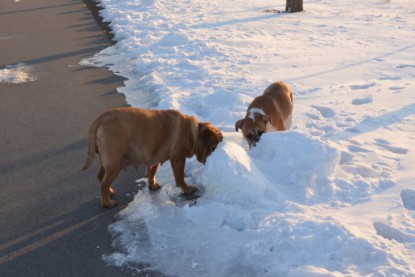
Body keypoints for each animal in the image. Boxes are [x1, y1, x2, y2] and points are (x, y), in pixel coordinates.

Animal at [82, 106, 224, 206]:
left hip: (107, 161)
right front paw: (187, 189)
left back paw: (110, 191)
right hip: (114, 161)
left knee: (100, 176)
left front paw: (153, 184)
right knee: (103, 183)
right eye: (213, 147)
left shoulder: (155, 157)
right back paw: (107, 202)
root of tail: (100, 118)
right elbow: (180, 178)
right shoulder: (178, 158)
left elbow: (152, 171)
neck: (193, 133)